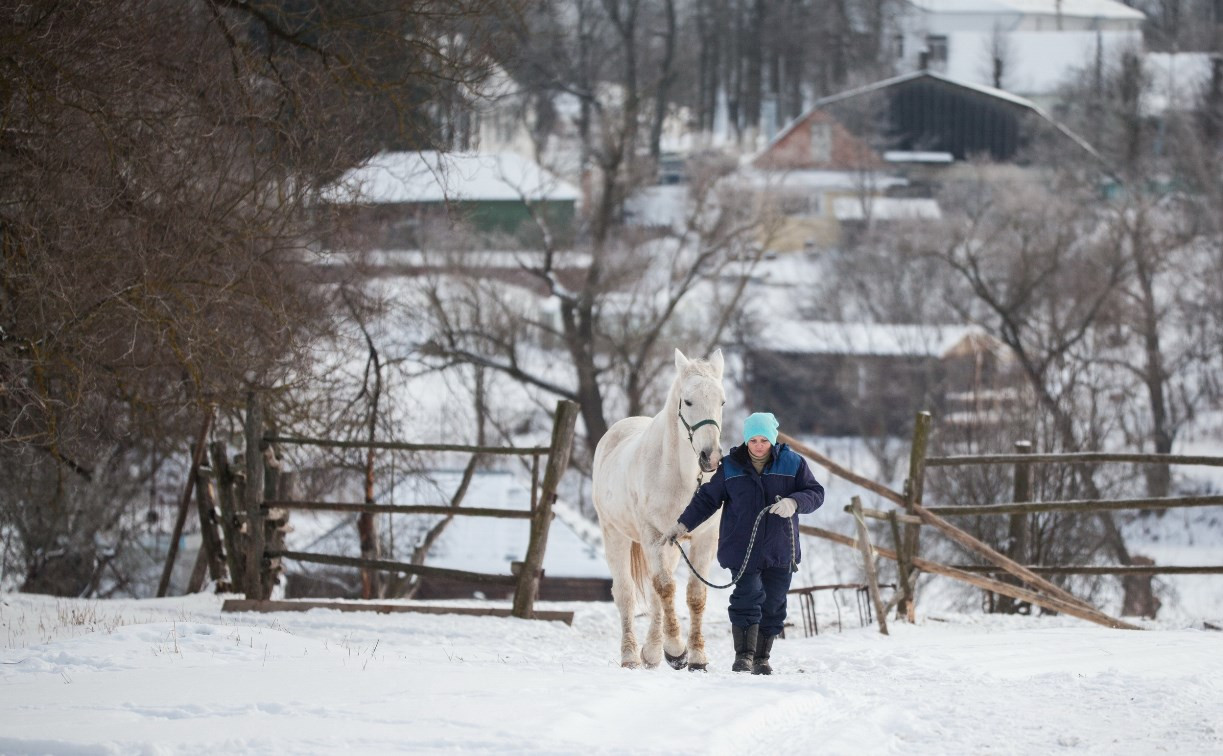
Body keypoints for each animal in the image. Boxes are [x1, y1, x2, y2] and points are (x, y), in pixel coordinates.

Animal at [591, 347, 724, 665]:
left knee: (654, 597)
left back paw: (651, 652)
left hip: (671, 548)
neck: (681, 478)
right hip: (615, 534)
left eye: (722, 401)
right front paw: (676, 650)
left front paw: (696, 656)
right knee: (626, 593)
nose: (711, 457)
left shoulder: (703, 539)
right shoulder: (652, 536)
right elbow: (664, 587)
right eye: (688, 401)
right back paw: (631, 655)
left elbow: (694, 595)